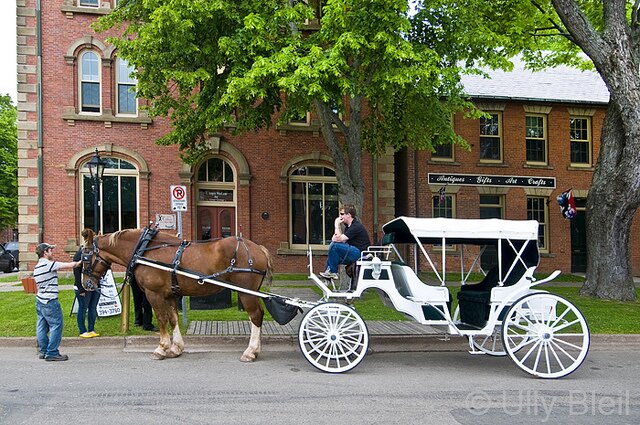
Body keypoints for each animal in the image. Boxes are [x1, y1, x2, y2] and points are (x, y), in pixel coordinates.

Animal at [79, 227, 270, 360]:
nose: (85, 284)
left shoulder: (154, 294)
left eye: (85, 255)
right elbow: (173, 318)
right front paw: (176, 348)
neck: (144, 250)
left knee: (255, 315)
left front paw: (161, 348)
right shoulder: (169, 294)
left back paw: (250, 351)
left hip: (246, 293)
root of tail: (258, 248)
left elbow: (162, 319)